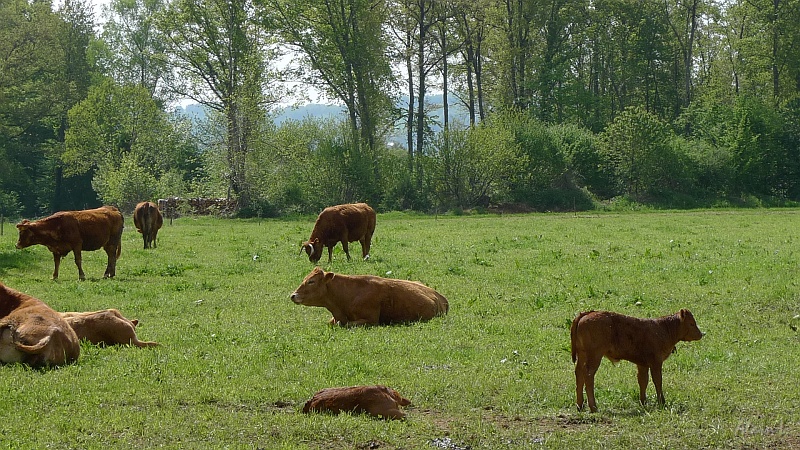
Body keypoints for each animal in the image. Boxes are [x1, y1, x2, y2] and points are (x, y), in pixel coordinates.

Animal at [572, 310, 704, 412]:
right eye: (691, 323)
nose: (701, 334)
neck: (663, 328)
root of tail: (587, 314)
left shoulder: (642, 364)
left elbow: (643, 381)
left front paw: (643, 402)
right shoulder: (656, 363)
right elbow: (658, 381)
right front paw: (662, 402)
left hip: (582, 355)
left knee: (579, 374)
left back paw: (580, 405)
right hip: (594, 357)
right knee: (588, 375)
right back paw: (593, 407)